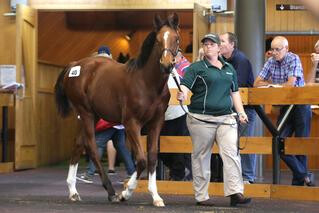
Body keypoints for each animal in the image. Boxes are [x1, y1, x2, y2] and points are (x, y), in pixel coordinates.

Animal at [54, 13, 181, 206]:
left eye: (176, 39)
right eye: (158, 40)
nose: (167, 65)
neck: (146, 83)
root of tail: (74, 66)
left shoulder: (156, 123)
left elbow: (152, 157)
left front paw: (156, 196)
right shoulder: (131, 123)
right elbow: (141, 159)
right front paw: (125, 193)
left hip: (93, 115)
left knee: (78, 144)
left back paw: (73, 191)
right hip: (86, 113)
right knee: (91, 147)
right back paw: (111, 192)